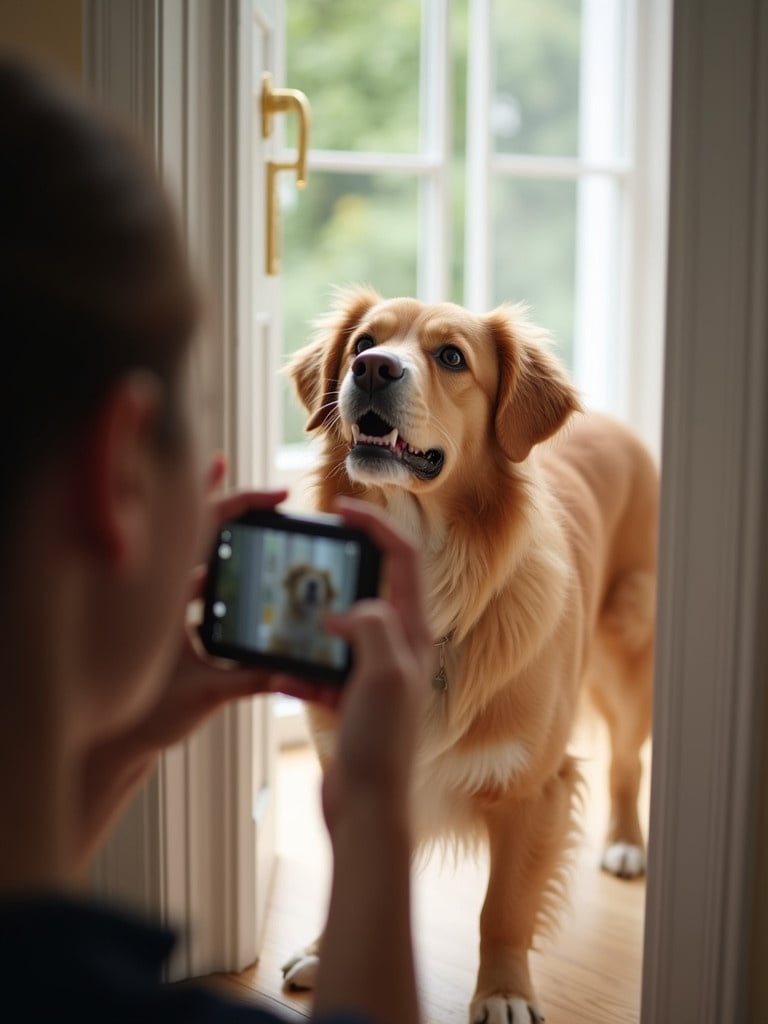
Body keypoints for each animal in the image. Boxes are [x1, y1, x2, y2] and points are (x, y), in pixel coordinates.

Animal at [280, 288, 659, 1024]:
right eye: (363, 342)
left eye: (451, 357)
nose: (371, 369)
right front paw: (325, 951)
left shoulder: (533, 788)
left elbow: (502, 910)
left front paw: (505, 990)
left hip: (628, 651)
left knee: (628, 759)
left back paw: (626, 841)